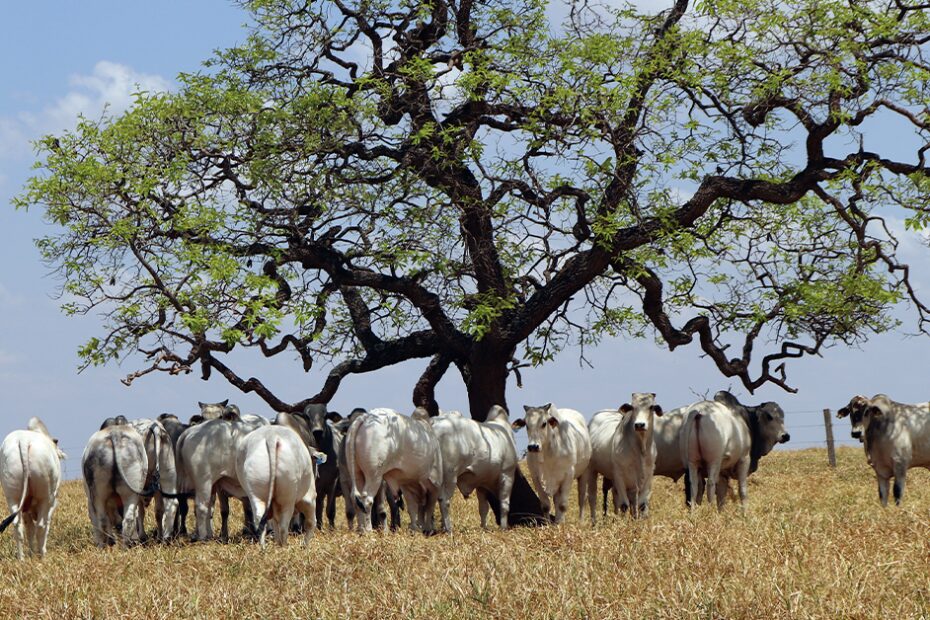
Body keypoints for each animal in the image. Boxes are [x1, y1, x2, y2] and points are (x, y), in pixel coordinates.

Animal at [0, 418, 66, 560]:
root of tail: (24, 440)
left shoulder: (26, 509)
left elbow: (29, 529)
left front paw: (31, 552)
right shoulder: (51, 505)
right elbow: (44, 526)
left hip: (12, 496)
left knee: (18, 526)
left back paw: (22, 558)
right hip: (45, 498)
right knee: (41, 526)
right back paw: (42, 555)